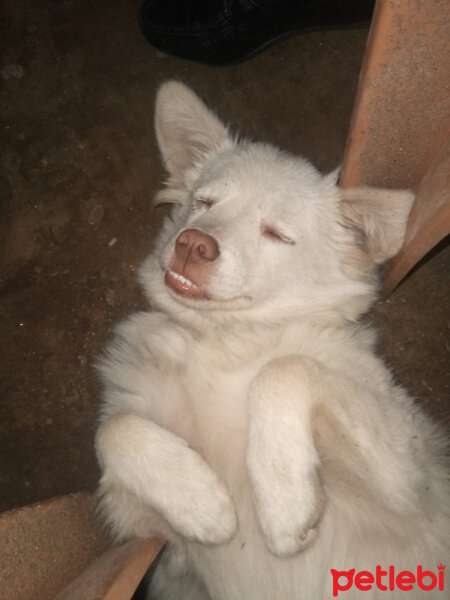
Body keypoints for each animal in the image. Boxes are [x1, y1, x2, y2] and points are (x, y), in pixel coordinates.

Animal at [96, 83, 450, 600]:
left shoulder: (408, 480)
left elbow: (285, 368)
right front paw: (201, 502)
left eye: (276, 234)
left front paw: (285, 503)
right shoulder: (150, 541)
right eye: (204, 202)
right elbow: (114, 429)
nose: (192, 244)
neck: (226, 339)